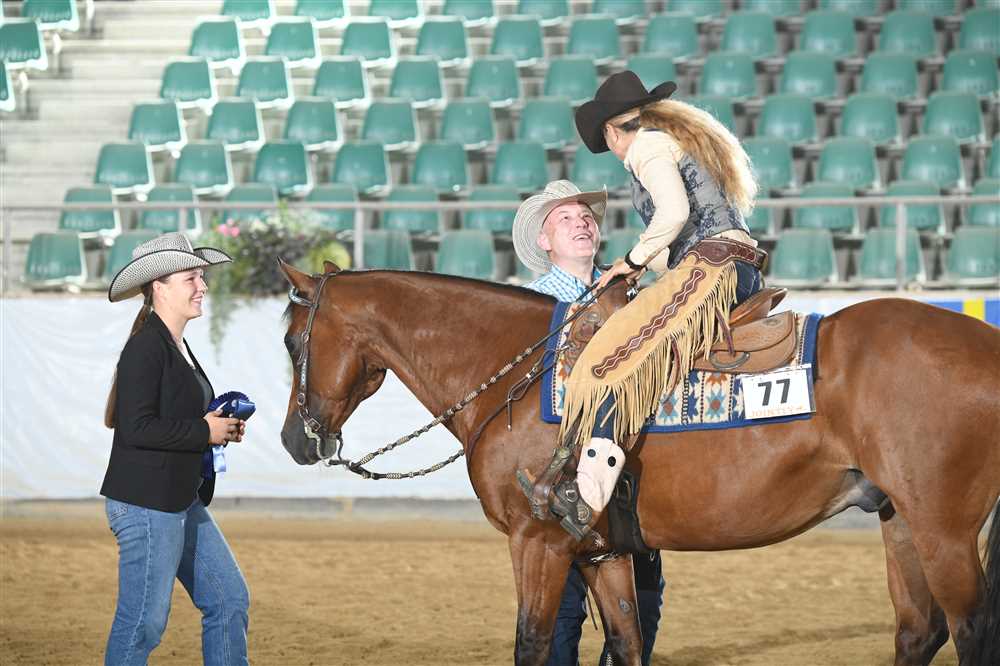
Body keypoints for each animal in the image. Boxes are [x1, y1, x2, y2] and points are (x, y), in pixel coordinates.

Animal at [277, 261, 1000, 666]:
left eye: (290, 341)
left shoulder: (539, 541)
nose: (292, 440)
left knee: (971, 630)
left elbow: (531, 643)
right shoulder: (602, 553)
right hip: (899, 520)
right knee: (919, 633)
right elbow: (625, 642)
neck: (511, 370)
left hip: (944, 531)